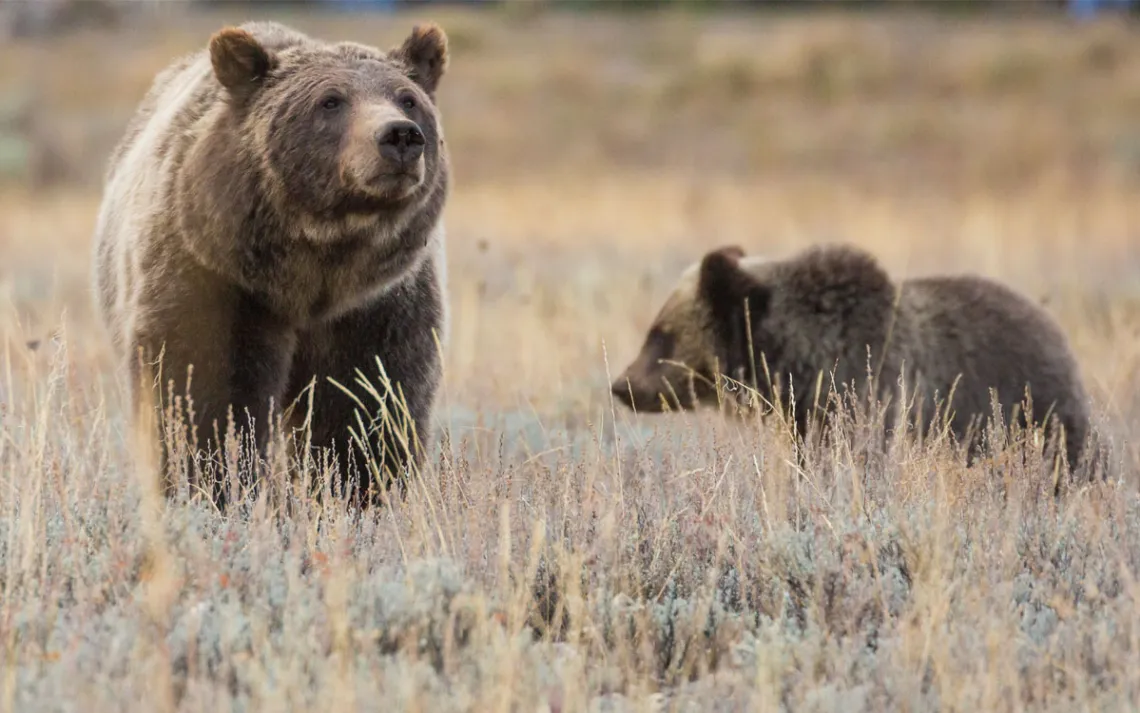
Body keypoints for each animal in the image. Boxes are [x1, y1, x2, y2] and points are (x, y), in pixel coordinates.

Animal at [91, 20, 452, 507]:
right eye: (331, 100)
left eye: (407, 97)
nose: (400, 135)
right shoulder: (215, 281)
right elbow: (206, 395)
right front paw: (214, 487)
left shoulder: (379, 303)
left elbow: (365, 403)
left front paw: (353, 492)